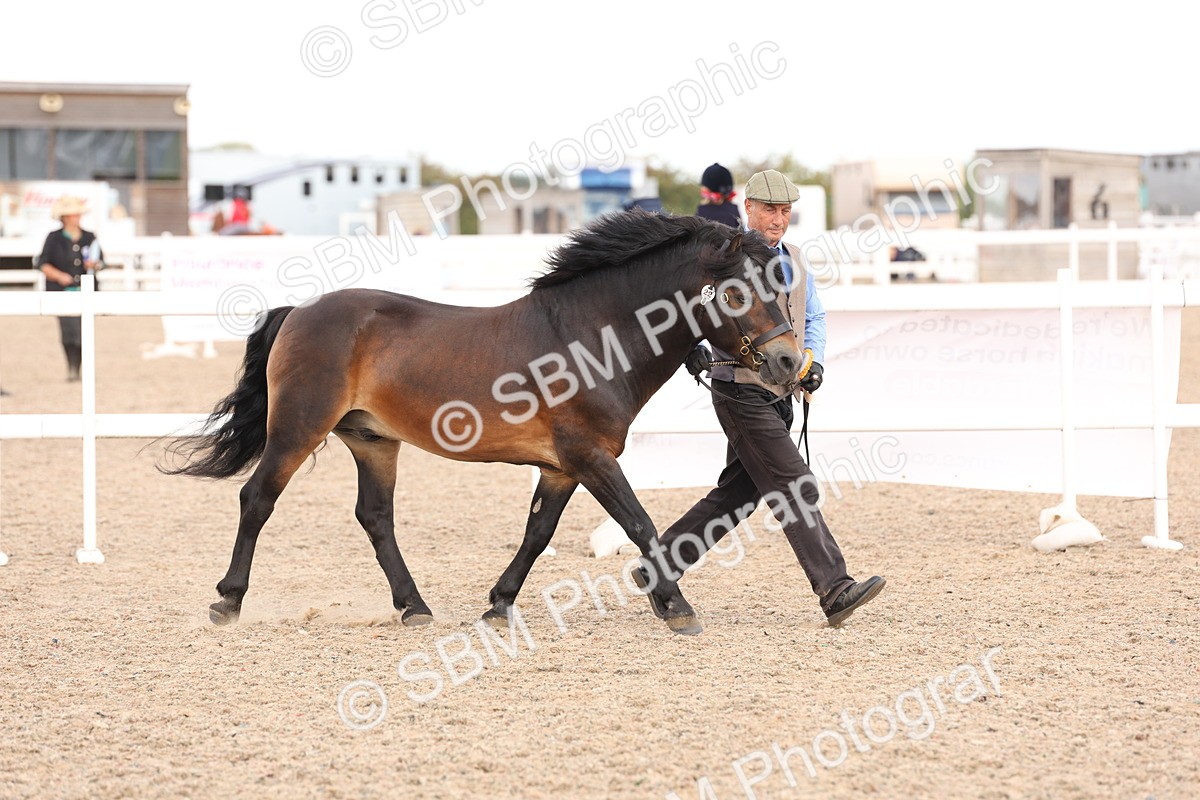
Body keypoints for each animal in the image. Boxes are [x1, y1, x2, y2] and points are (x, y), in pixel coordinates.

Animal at [162, 210, 803, 636]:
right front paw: (678, 609)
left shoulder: (562, 467)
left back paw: (414, 606)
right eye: (736, 292)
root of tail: (299, 310)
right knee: (257, 500)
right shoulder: (592, 457)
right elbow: (640, 523)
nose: (790, 364)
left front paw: (499, 603)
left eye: (779, 287)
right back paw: (228, 601)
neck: (592, 335)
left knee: (375, 518)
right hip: (298, 429)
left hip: (373, 442)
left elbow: (538, 533)